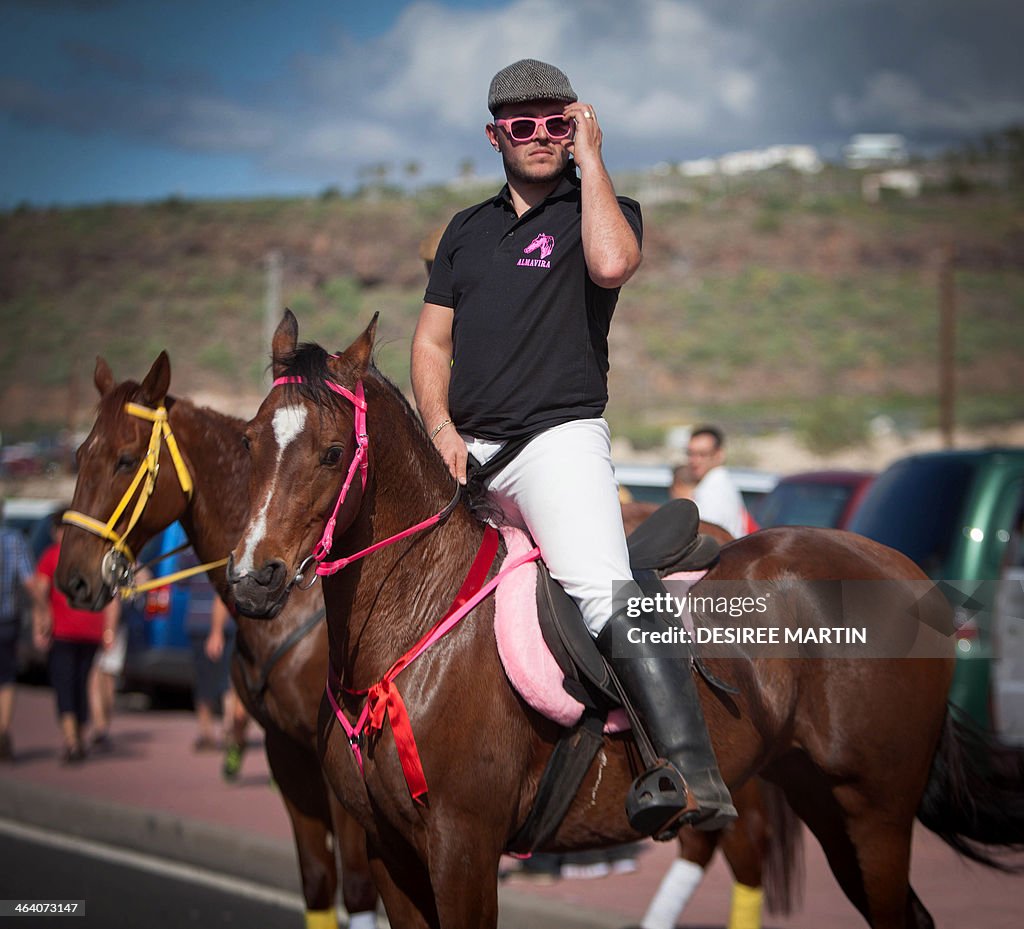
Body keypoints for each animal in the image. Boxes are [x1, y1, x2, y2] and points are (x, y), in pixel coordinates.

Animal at [54, 354, 380, 929]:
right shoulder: (286, 754)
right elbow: (319, 882)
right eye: (80, 454)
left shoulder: (344, 775)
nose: (73, 578)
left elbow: (361, 889)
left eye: (125, 460)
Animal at [228, 313, 1024, 929]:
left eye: (333, 452)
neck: (420, 619)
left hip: (877, 812)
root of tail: (907, 574)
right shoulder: (393, 852)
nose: (251, 579)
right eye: (248, 442)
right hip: (825, 802)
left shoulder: (462, 846)